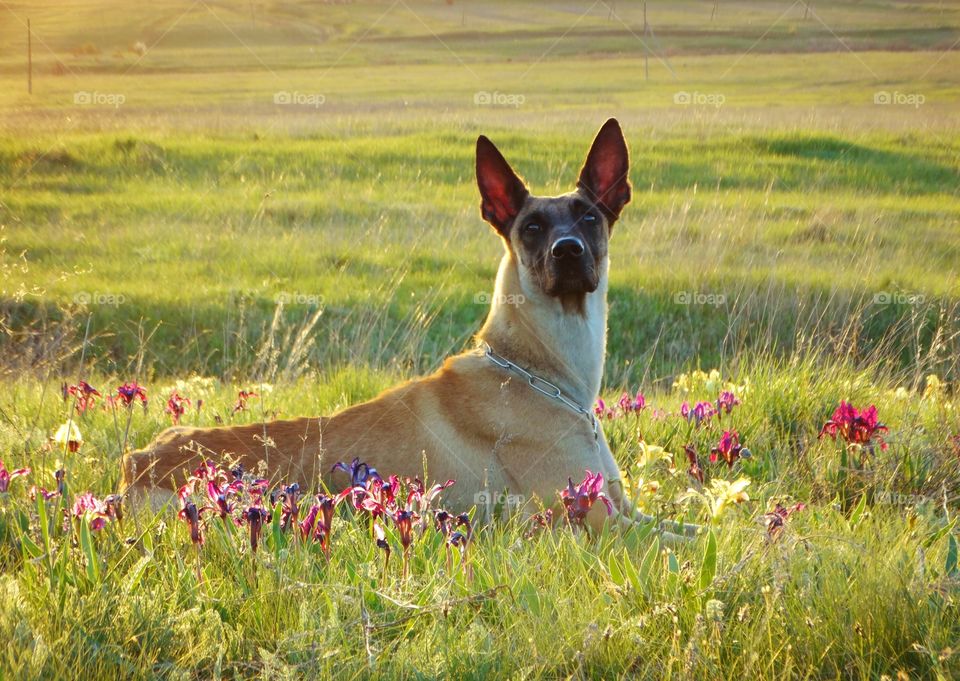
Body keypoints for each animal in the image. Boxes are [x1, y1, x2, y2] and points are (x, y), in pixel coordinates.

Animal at [122, 118, 696, 540]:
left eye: (590, 218)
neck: (539, 371)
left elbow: (696, 526)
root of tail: (137, 461)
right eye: (532, 227)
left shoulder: (628, 511)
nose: (568, 252)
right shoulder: (600, 524)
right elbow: (683, 541)